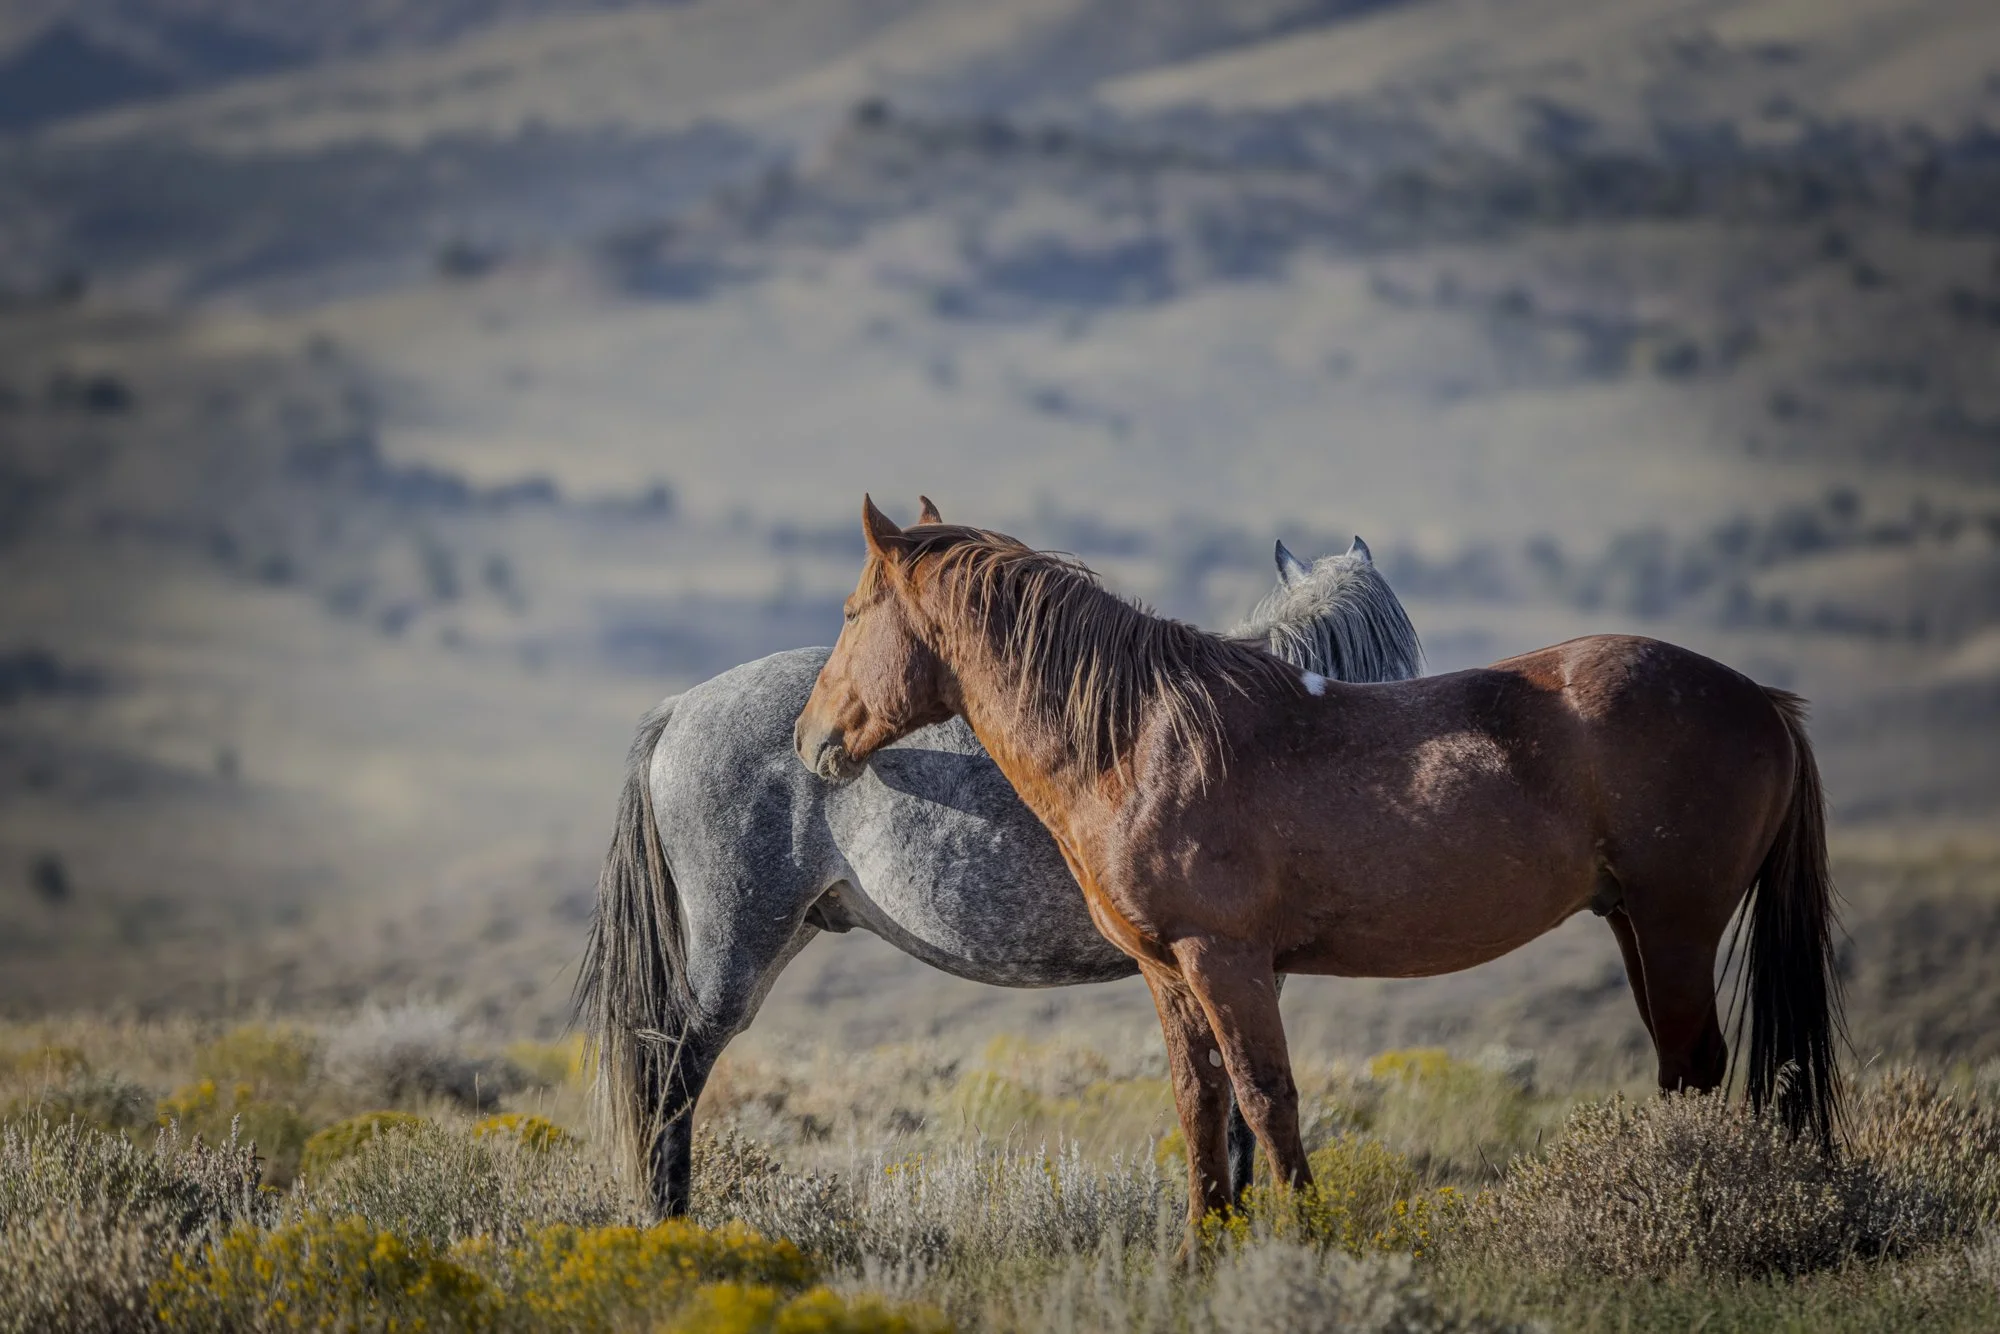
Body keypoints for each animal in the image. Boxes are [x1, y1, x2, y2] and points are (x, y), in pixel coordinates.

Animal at [794, 498, 1844, 1242]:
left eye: (850, 611)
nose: (810, 739)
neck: (1142, 738)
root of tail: (1764, 701)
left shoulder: (1226, 960)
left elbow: (1267, 1101)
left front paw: (1304, 1243)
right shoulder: (1169, 970)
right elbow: (1202, 1105)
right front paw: (1202, 1254)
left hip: (1675, 926)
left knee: (1695, 1065)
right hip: (1633, 923)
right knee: (1684, 1068)